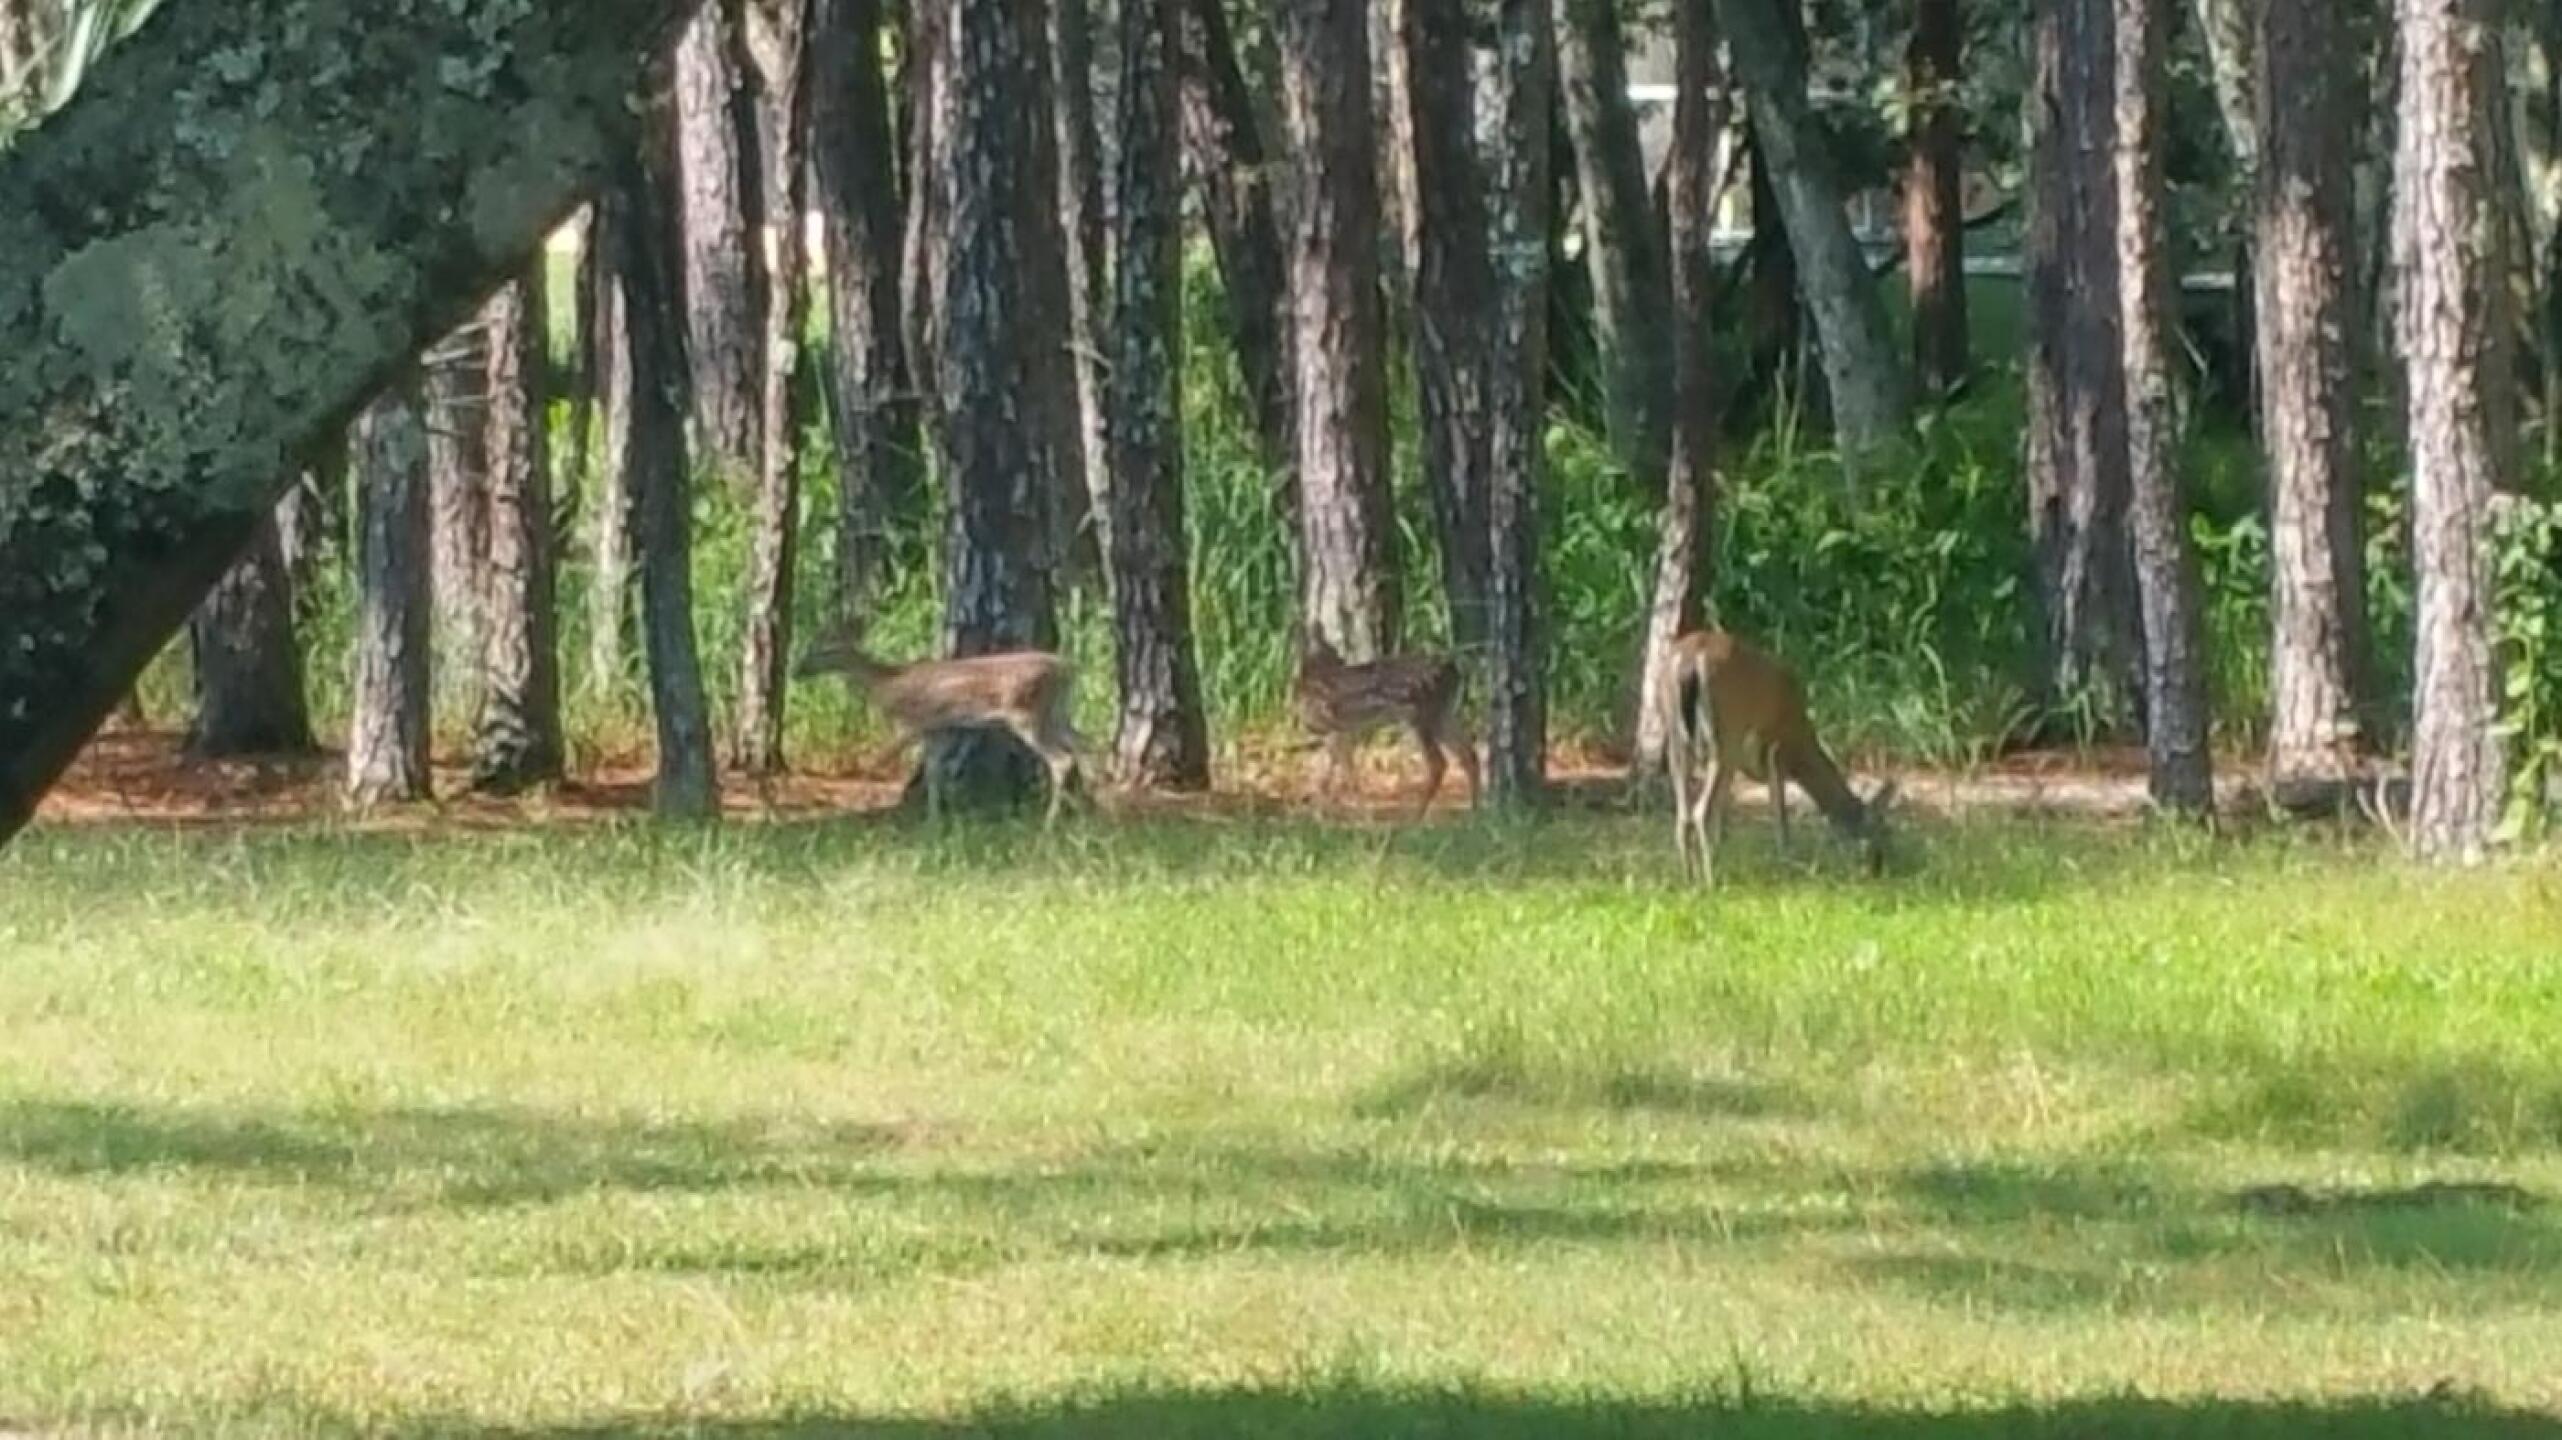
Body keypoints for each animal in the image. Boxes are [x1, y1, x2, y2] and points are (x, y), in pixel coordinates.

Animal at [795, 618, 1087, 828]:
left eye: (825, 649)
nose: (798, 670)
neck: (887, 684)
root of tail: (1067, 669)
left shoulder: (913, 723)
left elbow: (880, 759)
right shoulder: (939, 729)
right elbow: (934, 770)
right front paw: (934, 819)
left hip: (1026, 714)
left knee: (1062, 759)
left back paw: (1050, 823)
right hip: (1057, 713)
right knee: (1085, 745)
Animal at [1292, 629, 1480, 817]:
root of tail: (1453, 672)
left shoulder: (1334, 727)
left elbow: (1346, 772)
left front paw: (1363, 814)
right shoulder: (1338, 731)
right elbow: (1328, 774)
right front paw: (1318, 812)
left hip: (1417, 715)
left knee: (1438, 762)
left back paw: (1415, 816)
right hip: (1442, 714)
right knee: (1468, 753)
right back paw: (1474, 809)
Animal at [1657, 627, 1896, 885]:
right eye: (1883, 829)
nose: (1880, 866)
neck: (1801, 746)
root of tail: (1689, 661)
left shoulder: (1739, 762)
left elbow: (1725, 813)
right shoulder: (1777, 749)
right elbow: (1779, 814)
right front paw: (1787, 863)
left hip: (1678, 736)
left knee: (1684, 816)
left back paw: (1690, 880)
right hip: (1725, 732)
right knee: (1701, 812)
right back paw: (1711, 882)